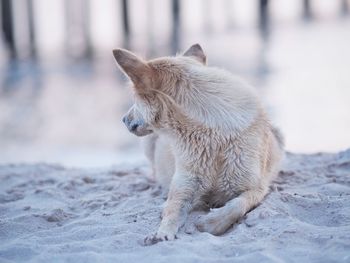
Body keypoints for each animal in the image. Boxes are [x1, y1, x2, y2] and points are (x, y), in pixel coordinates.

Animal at [113, 43, 284, 245]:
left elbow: (238, 205)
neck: (214, 133)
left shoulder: (257, 188)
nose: (123, 119)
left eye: (135, 100)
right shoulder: (185, 187)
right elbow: (172, 210)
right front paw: (162, 232)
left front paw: (209, 223)